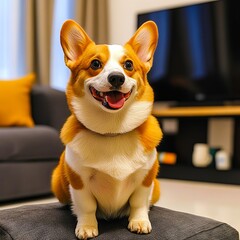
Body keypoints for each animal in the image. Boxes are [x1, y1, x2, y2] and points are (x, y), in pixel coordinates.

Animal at [50, 19, 163, 239]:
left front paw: (139, 222)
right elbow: (87, 207)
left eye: (128, 65)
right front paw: (86, 227)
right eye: (95, 64)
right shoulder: (79, 180)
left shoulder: (145, 178)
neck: (113, 131)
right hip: (57, 180)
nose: (117, 78)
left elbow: (138, 203)